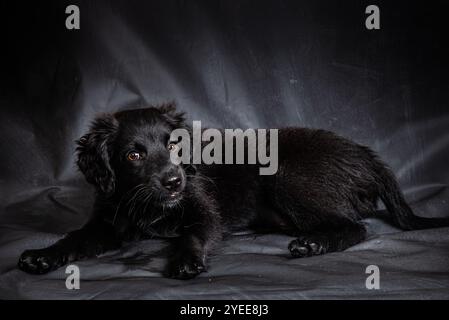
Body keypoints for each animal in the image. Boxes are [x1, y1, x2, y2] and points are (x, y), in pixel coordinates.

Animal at [17, 104, 448, 278]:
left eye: (176, 146)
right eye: (133, 154)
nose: (174, 182)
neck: (148, 203)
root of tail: (364, 153)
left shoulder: (204, 211)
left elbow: (193, 233)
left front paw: (186, 261)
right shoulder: (107, 221)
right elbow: (74, 238)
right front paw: (43, 255)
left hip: (287, 176)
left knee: (357, 226)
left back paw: (312, 244)